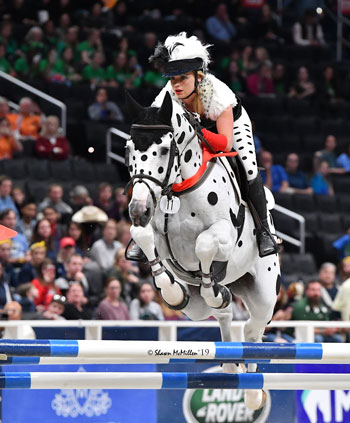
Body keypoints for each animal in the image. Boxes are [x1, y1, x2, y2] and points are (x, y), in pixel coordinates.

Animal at [124, 92, 280, 410]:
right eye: (129, 149)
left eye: (163, 149)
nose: (138, 209)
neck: (178, 190)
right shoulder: (151, 229)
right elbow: (142, 236)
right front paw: (173, 291)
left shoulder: (223, 234)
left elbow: (205, 244)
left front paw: (210, 285)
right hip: (196, 310)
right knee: (221, 314)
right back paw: (230, 354)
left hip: (264, 295)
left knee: (253, 330)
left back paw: (253, 391)